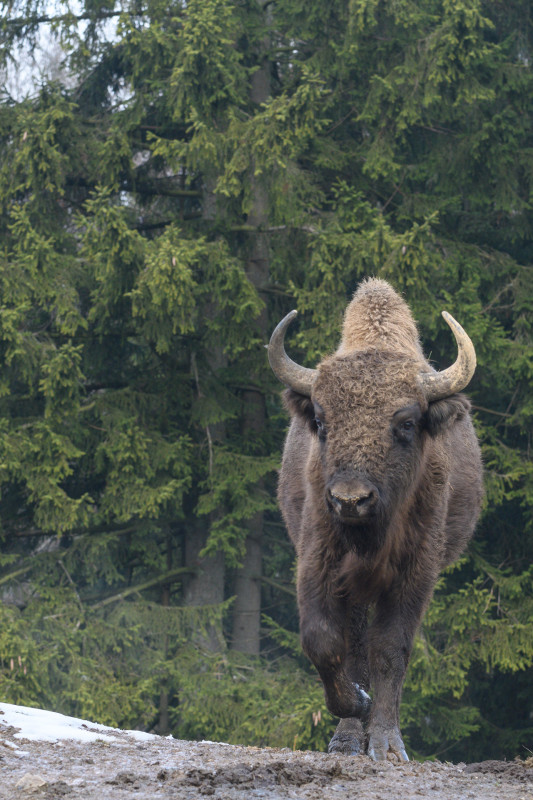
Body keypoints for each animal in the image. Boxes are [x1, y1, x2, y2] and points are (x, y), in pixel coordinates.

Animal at [266, 280, 482, 764]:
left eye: (406, 423)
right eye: (321, 421)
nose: (350, 499)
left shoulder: (415, 573)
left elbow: (390, 649)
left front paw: (386, 743)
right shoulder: (318, 560)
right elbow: (327, 641)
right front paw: (355, 715)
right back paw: (350, 735)